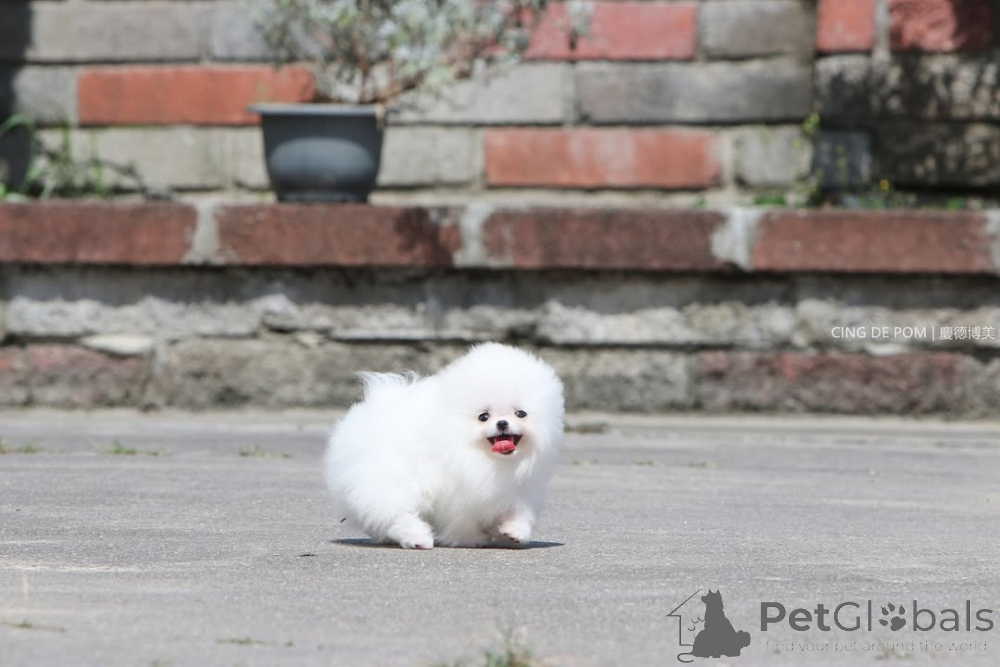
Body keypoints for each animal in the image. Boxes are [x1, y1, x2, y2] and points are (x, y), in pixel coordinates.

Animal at [324, 343, 564, 549]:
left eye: (521, 413)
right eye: (483, 417)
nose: (502, 423)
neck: (488, 460)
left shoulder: (518, 489)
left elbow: (519, 513)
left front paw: (515, 532)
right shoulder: (459, 495)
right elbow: (463, 522)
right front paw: (474, 538)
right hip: (389, 479)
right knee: (396, 512)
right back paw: (417, 538)